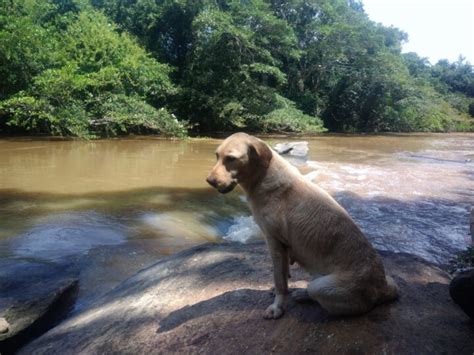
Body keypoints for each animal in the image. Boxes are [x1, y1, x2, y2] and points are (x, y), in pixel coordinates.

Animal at [206, 133, 398, 320]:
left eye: (231, 158)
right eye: (216, 155)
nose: (209, 181)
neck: (262, 177)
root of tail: (382, 288)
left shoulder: (275, 243)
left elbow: (279, 280)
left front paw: (278, 307)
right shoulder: (282, 248)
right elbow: (284, 275)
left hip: (321, 287)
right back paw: (302, 294)